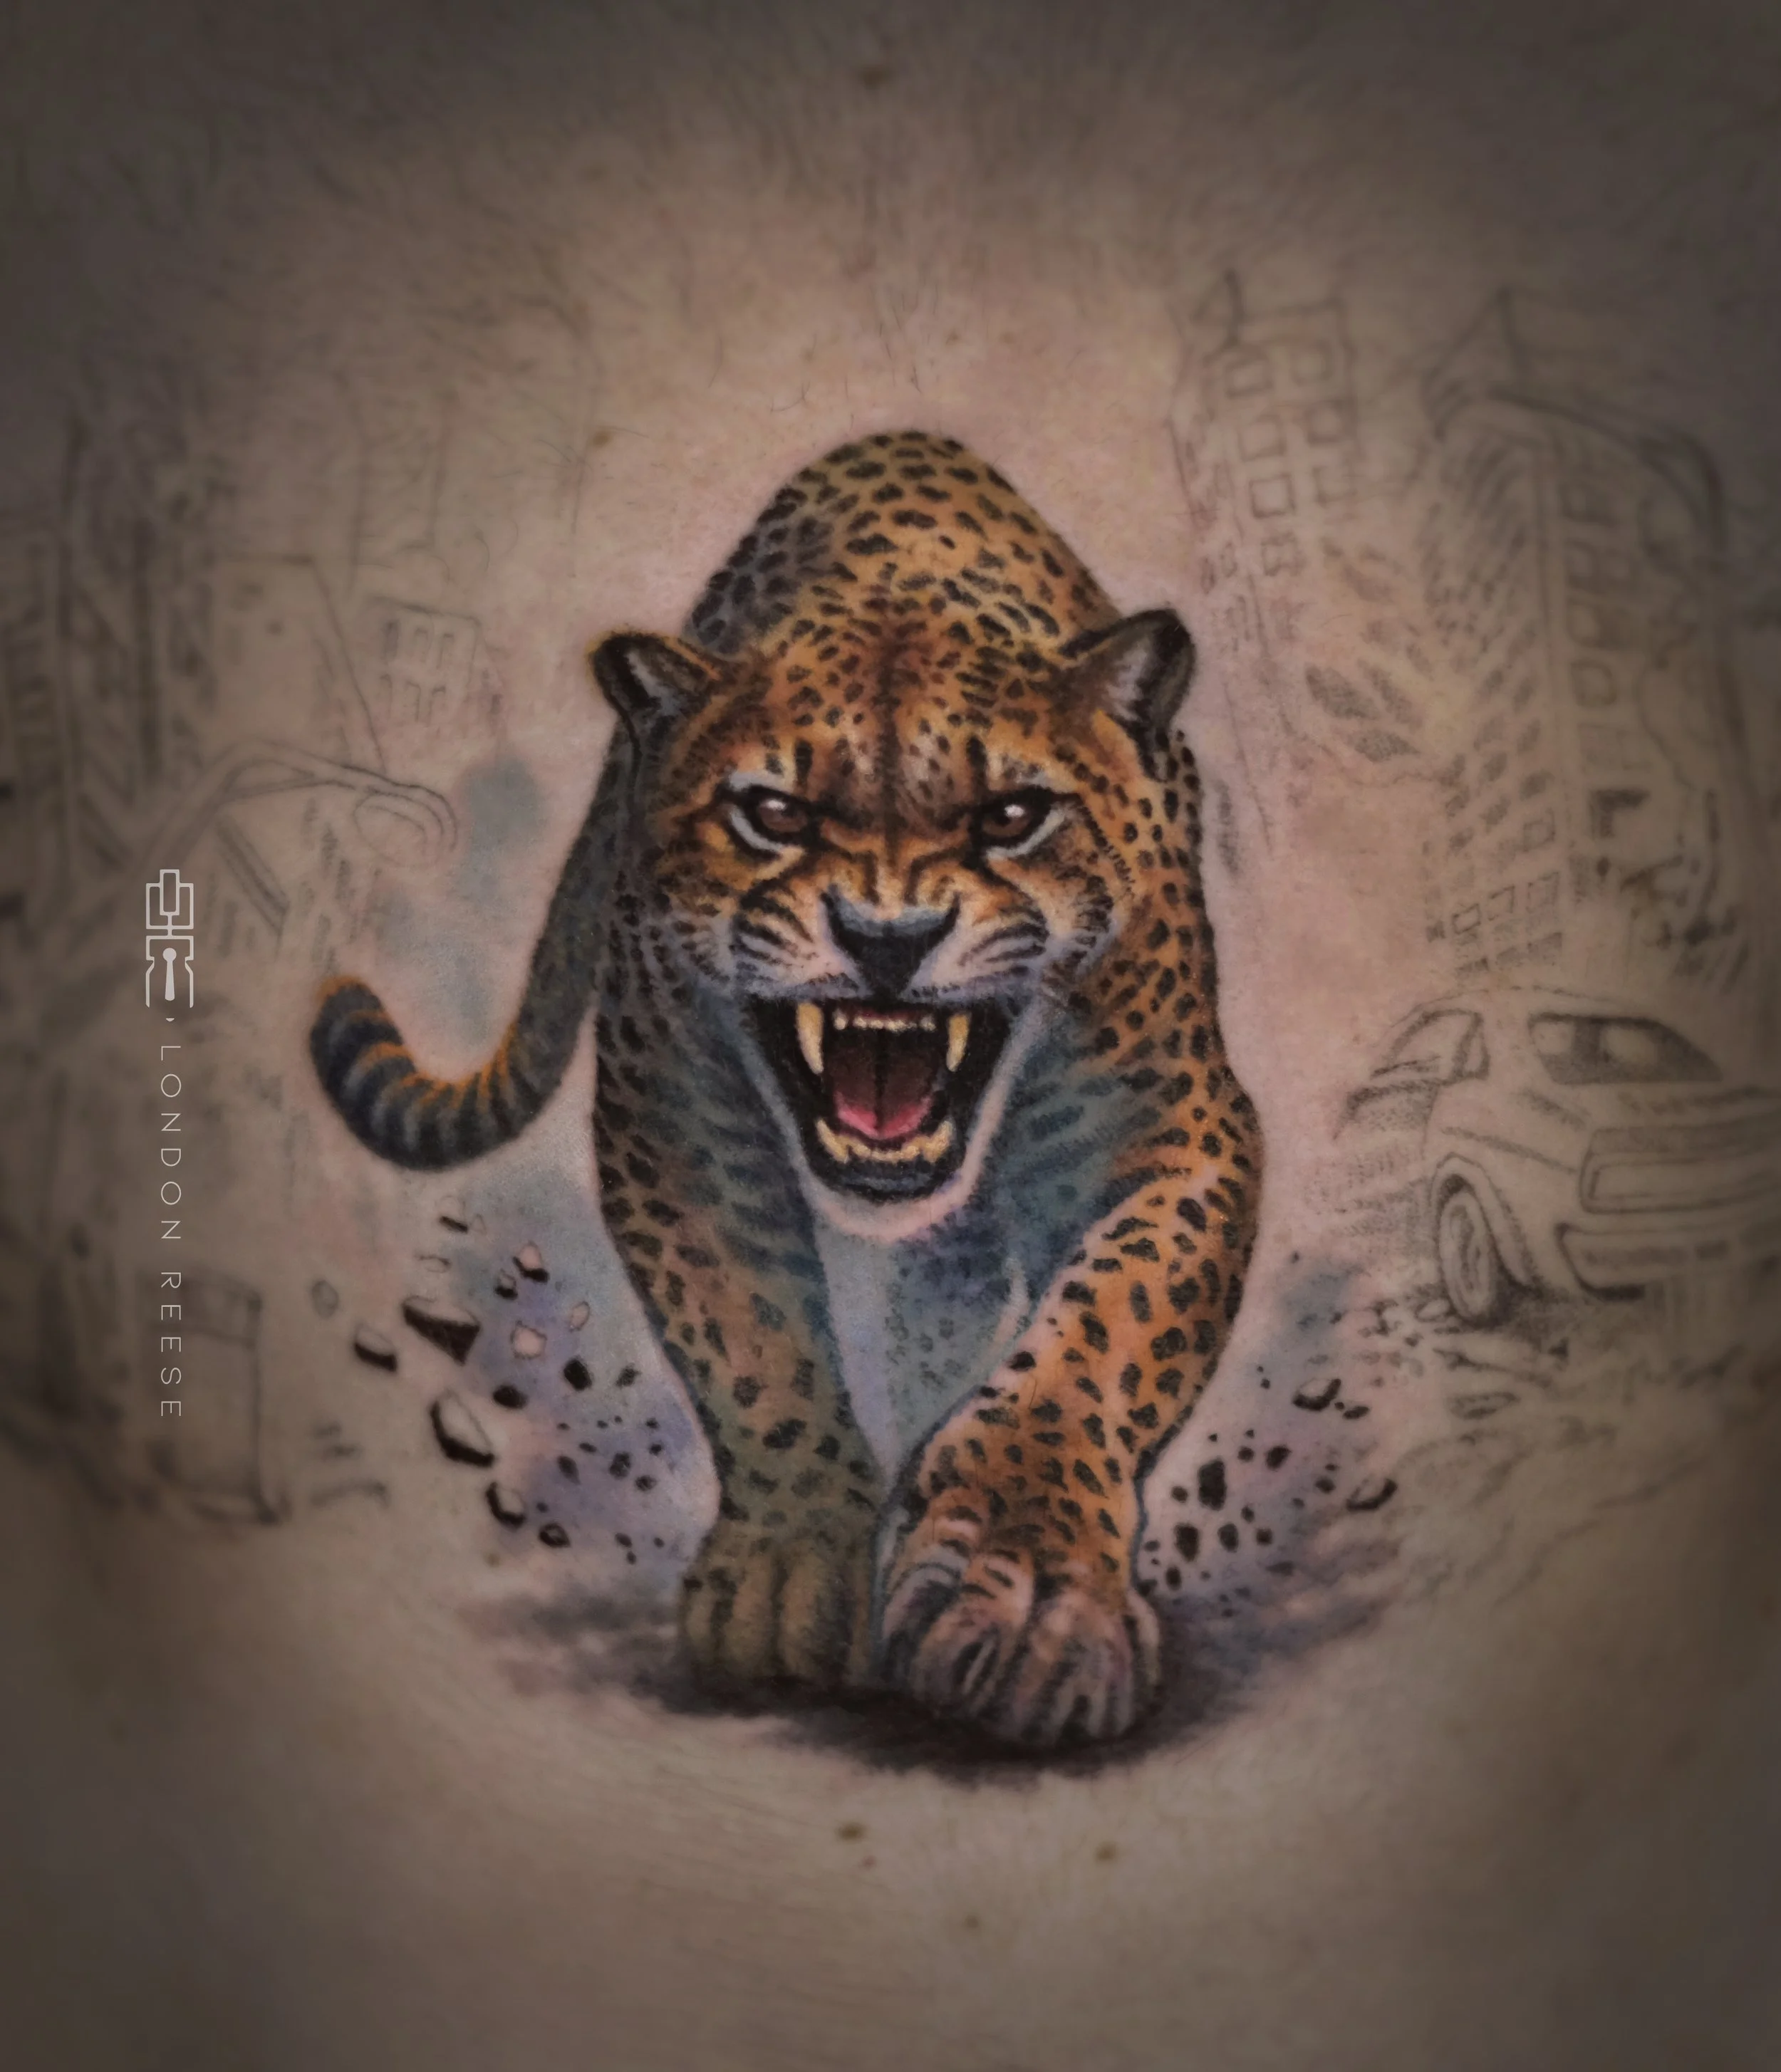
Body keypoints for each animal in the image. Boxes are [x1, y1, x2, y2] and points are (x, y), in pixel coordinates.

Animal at [309, 429, 1261, 1746]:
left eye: (1013, 814)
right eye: (772, 812)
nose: (887, 934)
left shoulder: (1179, 1131)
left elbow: (1103, 1330)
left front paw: (1023, 1591)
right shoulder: (673, 1126)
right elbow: (750, 1338)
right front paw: (796, 1566)